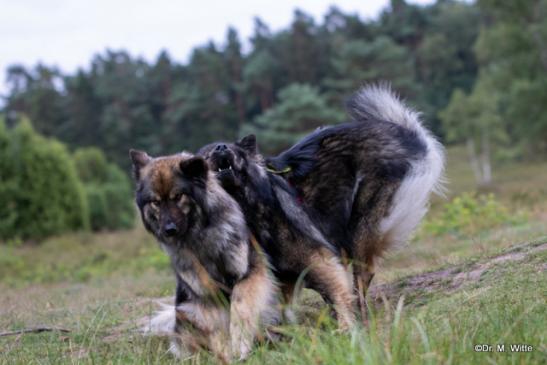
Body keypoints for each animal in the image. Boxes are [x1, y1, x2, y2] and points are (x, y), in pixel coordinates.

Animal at [131, 149, 280, 360]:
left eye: (178, 196)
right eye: (155, 202)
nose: (169, 230)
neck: (199, 236)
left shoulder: (250, 272)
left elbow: (240, 304)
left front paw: (240, 341)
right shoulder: (208, 294)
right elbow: (217, 329)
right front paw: (227, 354)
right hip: (187, 310)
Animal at [199, 137, 358, 330]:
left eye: (234, 150)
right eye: (206, 155)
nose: (221, 147)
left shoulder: (318, 260)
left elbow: (338, 293)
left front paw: (347, 326)